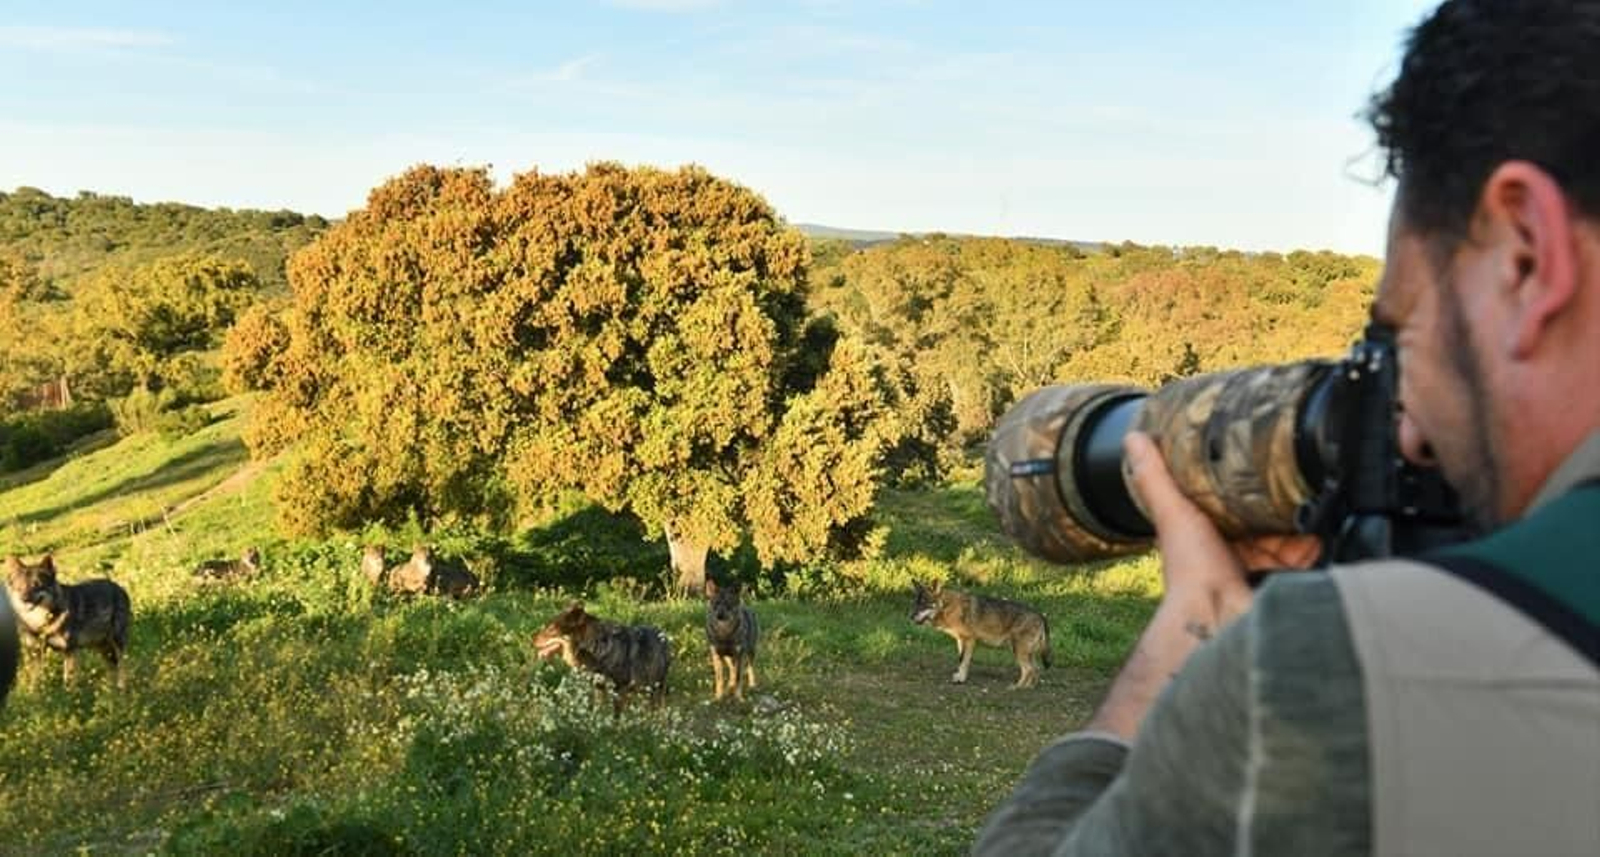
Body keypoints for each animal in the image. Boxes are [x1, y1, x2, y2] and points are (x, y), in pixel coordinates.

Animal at [5, 554, 131, 689]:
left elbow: (68, 680)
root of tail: (119, 587)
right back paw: (109, 689)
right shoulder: (35, 653)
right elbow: (34, 682)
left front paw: (69, 694)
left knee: (122, 664)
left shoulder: (69, 651)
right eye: (19, 586)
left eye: (37, 585)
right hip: (100, 646)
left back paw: (121, 687)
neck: (41, 623)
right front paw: (34, 693)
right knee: (111, 666)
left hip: (116, 642)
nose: (24, 599)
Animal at [532, 602, 671, 708]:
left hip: (656, 689)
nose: (532, 639)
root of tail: (663, 634)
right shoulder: (599, 688)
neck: (598, 647)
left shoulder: (619, 690)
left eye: (551, 630)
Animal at [910, 580, 1051, 688]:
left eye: (924, 605)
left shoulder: (970, 640)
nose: (910, 617)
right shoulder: (961, 641)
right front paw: (959, 677)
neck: (948, 607)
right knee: (1036, 669)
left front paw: (960, 679)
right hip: (1026, 653)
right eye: (915, 604)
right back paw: (1029, 687)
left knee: (1029, 670)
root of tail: (1041, 616)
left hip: (1018, 651)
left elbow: (963, 661)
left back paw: (1017, 687)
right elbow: (961, 661)